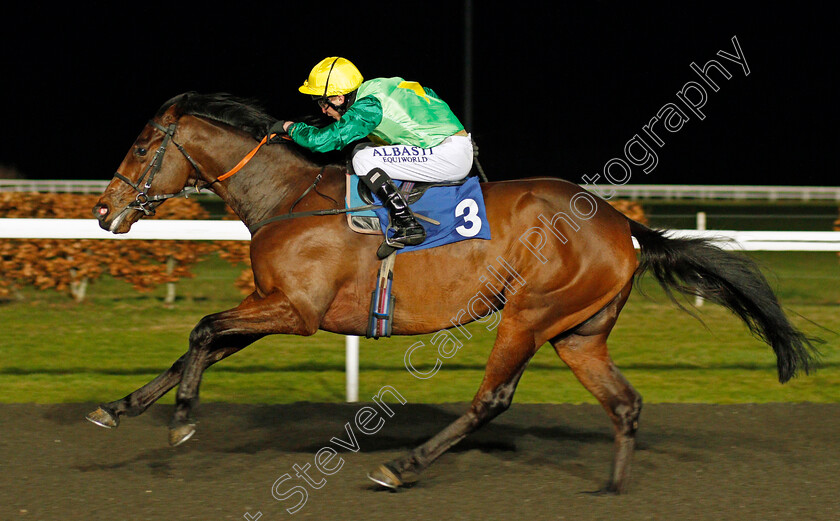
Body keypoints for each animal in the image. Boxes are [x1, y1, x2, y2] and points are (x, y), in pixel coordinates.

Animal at [87, 91, 812, 494]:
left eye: (143, 146)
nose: (102, 210)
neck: (289, 199)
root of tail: (619, 222)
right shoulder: (274, 303)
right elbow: (199, 343)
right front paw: (119, 407)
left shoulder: (296, 310)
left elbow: (203, 329)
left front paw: (182, 419)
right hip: (579, 333)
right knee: (624, 403)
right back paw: (612, 487)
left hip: (528, 312)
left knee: (492, 398)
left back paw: (401, 466)